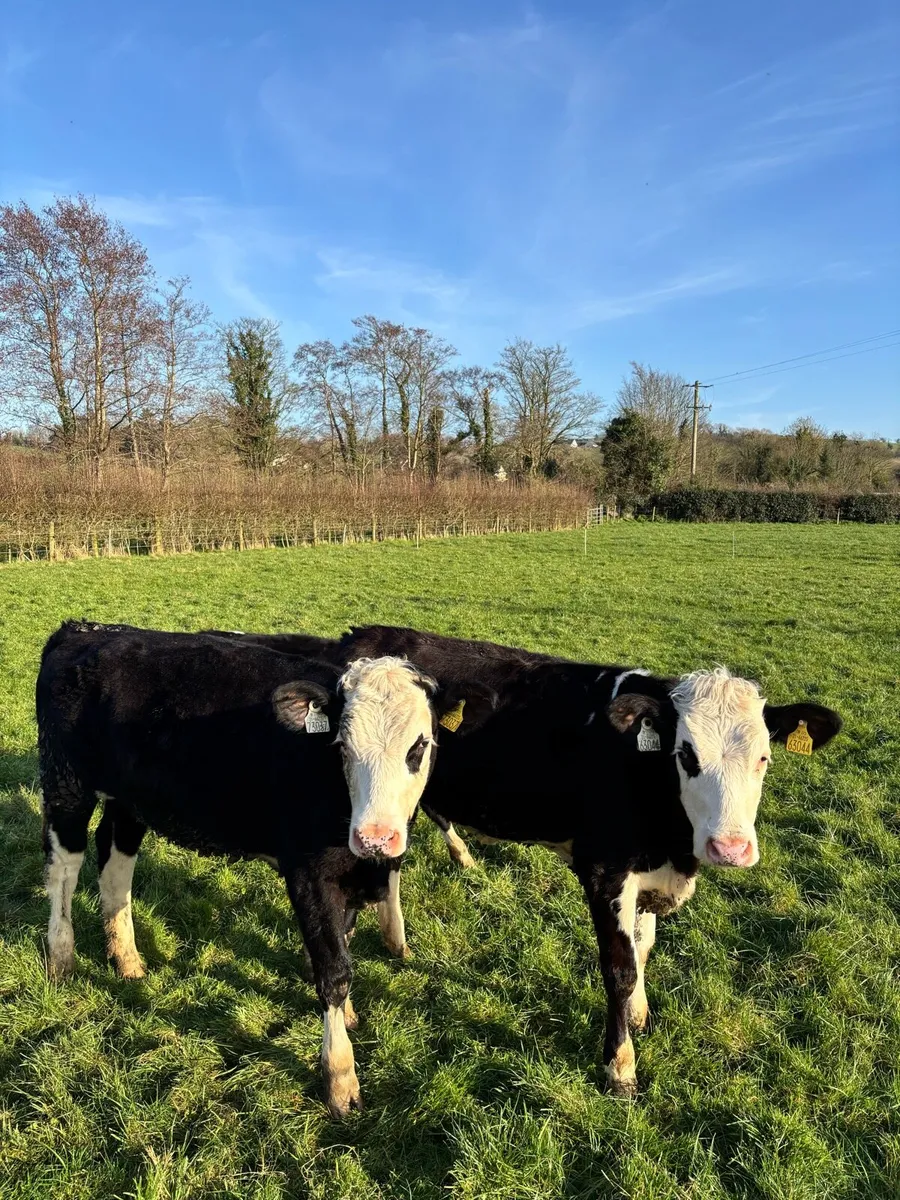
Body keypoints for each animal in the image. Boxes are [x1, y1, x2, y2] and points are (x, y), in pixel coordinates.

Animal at [35, 620, 466, 1117]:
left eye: (420, 746)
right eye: (342, 745)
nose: (376, 837)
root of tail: (85, 630)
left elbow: (344, 940)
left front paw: (349, 1016)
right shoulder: (309, 874)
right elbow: (333, 969)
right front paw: (340, 1077)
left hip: (130, 800)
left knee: (115, 860)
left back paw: (126, 958)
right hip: (67, 786)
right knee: (64, 868)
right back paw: (61, 959)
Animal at [202, 625, 843, 1096]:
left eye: (763, 757)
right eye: (686, 754)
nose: (730, 848)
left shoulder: (648, 873)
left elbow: (643, 949)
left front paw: (639, 1014)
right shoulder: (604, 869)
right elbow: (619, 965)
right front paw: (620, 1067)